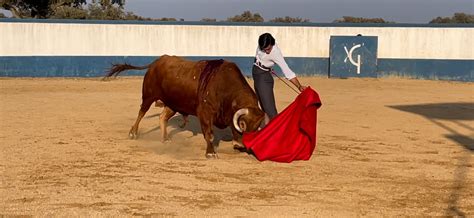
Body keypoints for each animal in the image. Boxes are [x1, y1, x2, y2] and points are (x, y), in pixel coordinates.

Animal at [105, 55, 264, 158]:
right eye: (242, 124)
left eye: (257, 127)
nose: (243, 146)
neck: (224, 87)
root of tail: (156, 62)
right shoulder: (205, 113)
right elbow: (209, 134)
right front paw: (210, 153)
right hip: (148, 96)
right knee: (141, 112)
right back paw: (133, 133)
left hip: (172, 104)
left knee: (162, 117)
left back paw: (165, 139)